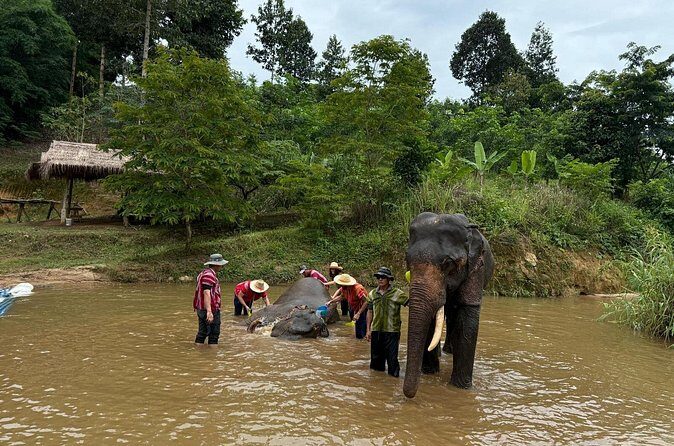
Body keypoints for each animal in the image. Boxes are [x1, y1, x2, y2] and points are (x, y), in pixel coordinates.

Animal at [403, 212, 494, 398]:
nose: (408, 394)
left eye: (448, 263)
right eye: (407, 260)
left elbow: (468, 321)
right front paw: (429, 373)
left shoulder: (476, 269)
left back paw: (450, 352)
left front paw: (461, 388)